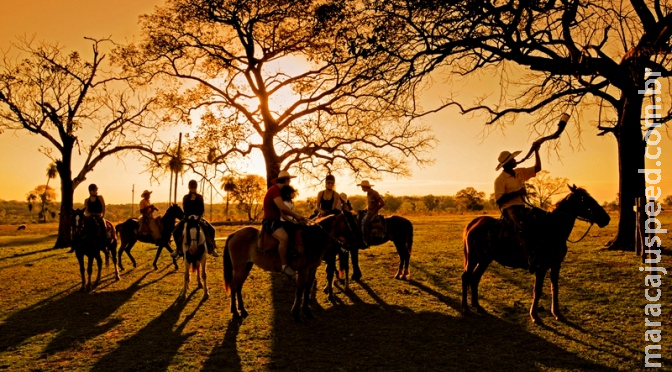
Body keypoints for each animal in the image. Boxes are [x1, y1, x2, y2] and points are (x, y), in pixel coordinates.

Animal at [223, 212, 360, 322]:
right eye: (350, 224)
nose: (358, 243)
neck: (311, 239)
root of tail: (234, 234)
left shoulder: (312, 270)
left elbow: (307, 289)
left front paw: (307, 312)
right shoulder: (303, 270)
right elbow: (300, 290)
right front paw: (296, 314)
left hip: (246, 266)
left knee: (238, 286)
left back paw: (242, 310)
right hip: (239, 267)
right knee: (234, 286)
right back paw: (235, 312)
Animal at [462, 186, 608, 322]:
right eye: (584, 200)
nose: (606, 218)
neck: (552, 229)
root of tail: (473, 223)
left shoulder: (556, 265)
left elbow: (555, 288)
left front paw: (557, 313)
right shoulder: (541, 267)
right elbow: (537, 290)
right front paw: (535, 315)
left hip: (485, 259)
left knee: (475, 278)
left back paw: (477, 305)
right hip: (473, 258)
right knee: (466, 277)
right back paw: (465, 308)